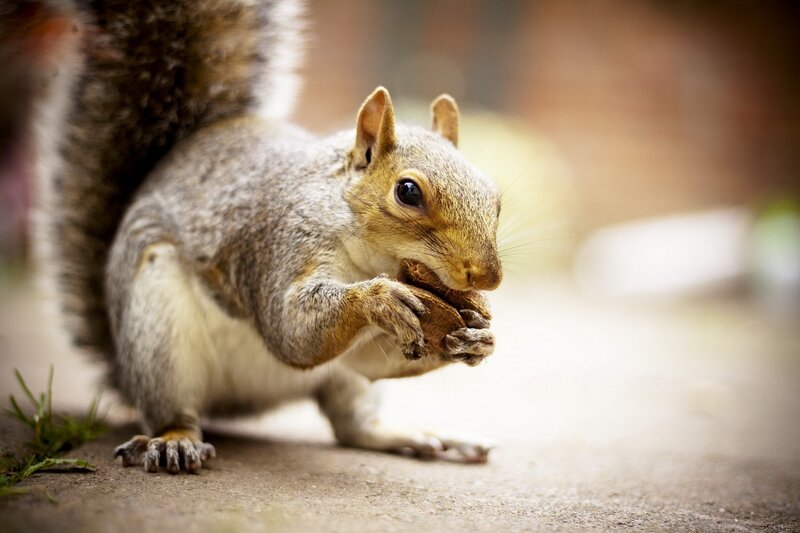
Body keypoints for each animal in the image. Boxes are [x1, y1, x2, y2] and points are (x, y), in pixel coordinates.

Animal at [28, 0, 503, 473]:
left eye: (495, 196)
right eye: (408, 192)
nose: (488, 277)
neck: (369, 256)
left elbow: (366, 357)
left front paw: (476, 338)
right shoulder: (280, 244)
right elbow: (290, 328)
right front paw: (376, 299)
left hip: (342, 381)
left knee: (354, 424)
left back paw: (421, 436)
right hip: (157, 329)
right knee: (175, 408)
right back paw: (174, 441)